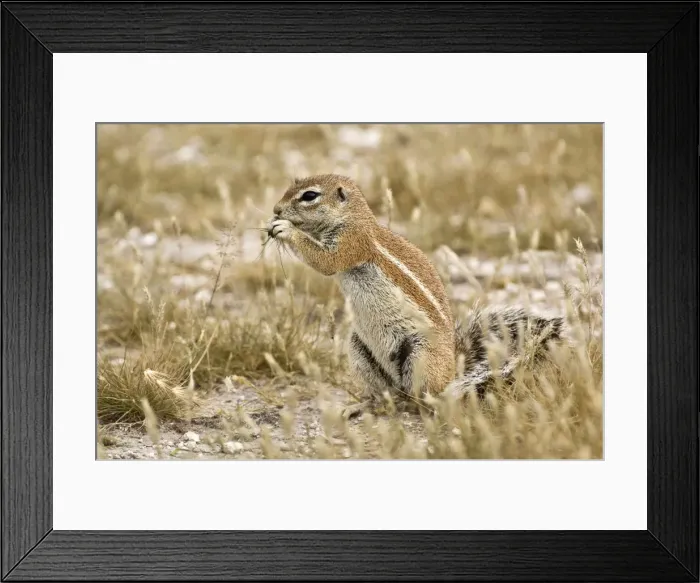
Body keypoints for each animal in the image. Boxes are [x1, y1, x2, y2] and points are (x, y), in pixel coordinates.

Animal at [268, 174, 563, 418]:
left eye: (309, 196)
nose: (275, 210)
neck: (353, 218)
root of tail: (453, 370)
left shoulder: (353, 242)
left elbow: (325, 262)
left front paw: (286, 229)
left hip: (420, 355)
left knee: (423, 396)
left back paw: (426, 404)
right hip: (359, 349)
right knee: (387, 394)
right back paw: (363, 406)